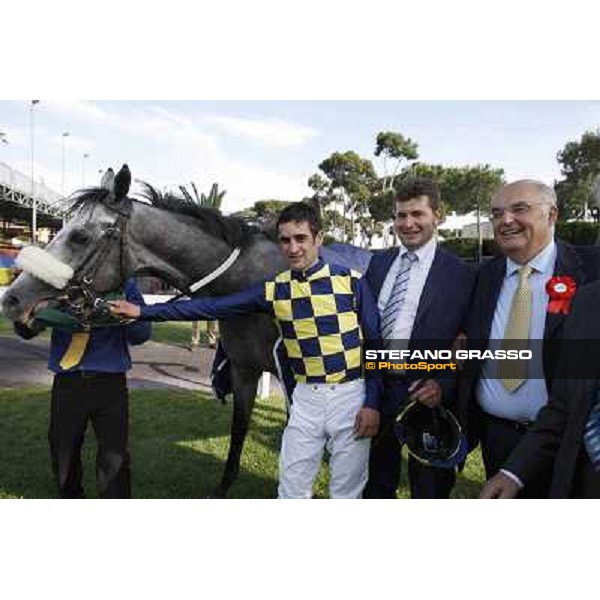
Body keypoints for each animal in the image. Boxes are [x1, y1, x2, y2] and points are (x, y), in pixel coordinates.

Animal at [2, 165, 372, 496]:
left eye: (80, 236)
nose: (12, 300)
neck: (251, 283)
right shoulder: (244, 370)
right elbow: (239, 429)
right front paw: (223, 488)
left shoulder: (295, 379)